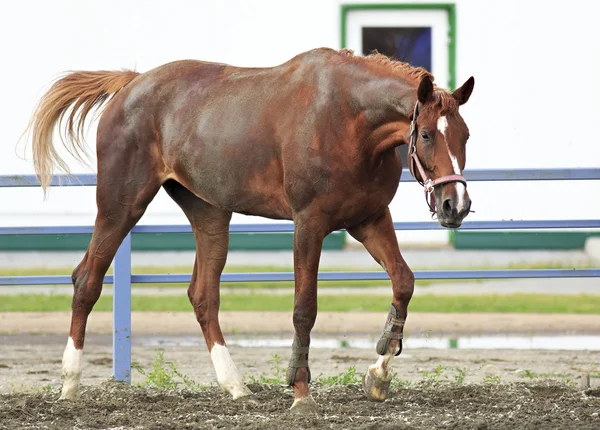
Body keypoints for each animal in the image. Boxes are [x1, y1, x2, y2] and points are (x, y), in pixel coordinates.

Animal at [25, 46, 474, 410]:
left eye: (465, 135)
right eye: (428, 134)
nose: (456, 204)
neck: (348, 117)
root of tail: (131, 84)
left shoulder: (369, 219)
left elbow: (403, 282)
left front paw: (378, 374)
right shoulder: (309, 224)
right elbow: (304, 309)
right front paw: (301, 394)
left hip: (209, 215)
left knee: (203, 296)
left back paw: (236, 386)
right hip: (120, 206)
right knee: (87, 280)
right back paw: (69, 386)